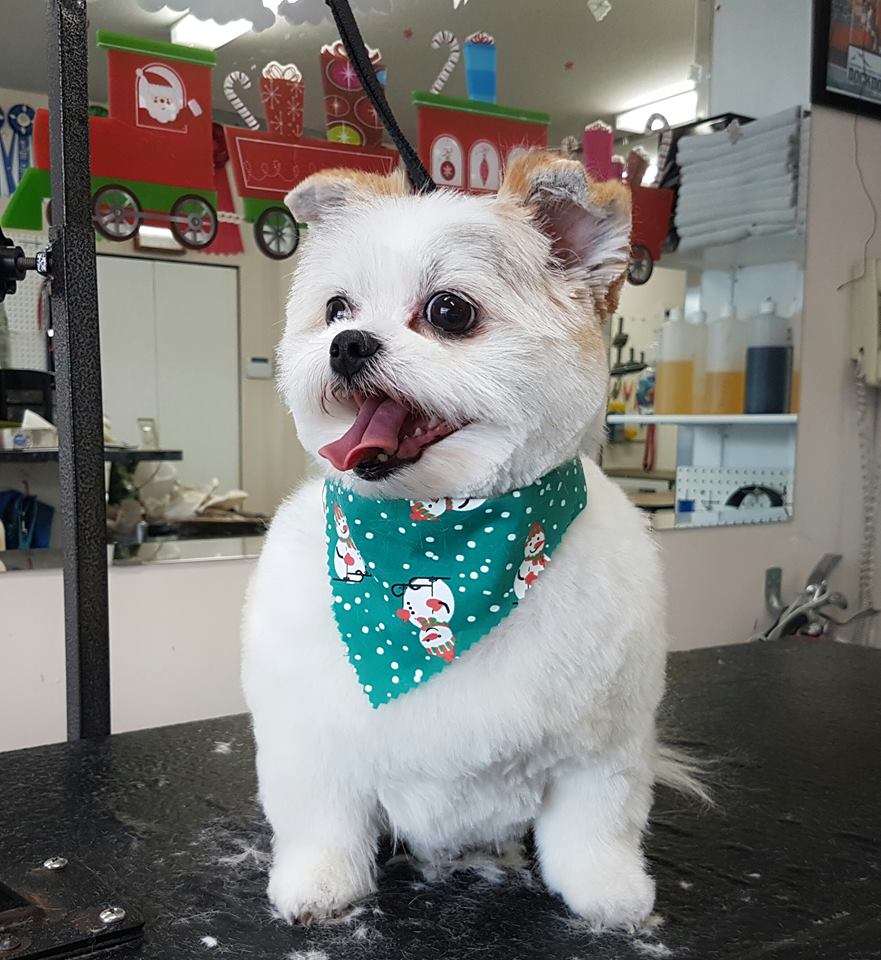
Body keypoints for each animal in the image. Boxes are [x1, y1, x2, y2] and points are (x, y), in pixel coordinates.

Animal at [243, 152, 680, 930]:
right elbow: (322, 824)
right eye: (336, 309)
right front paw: (319, 886)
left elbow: (593, 829)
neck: (438, 532)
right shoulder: (311, 742)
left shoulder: (601, 748)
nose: (347, 345)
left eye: (450, 311)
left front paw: (607, 893)